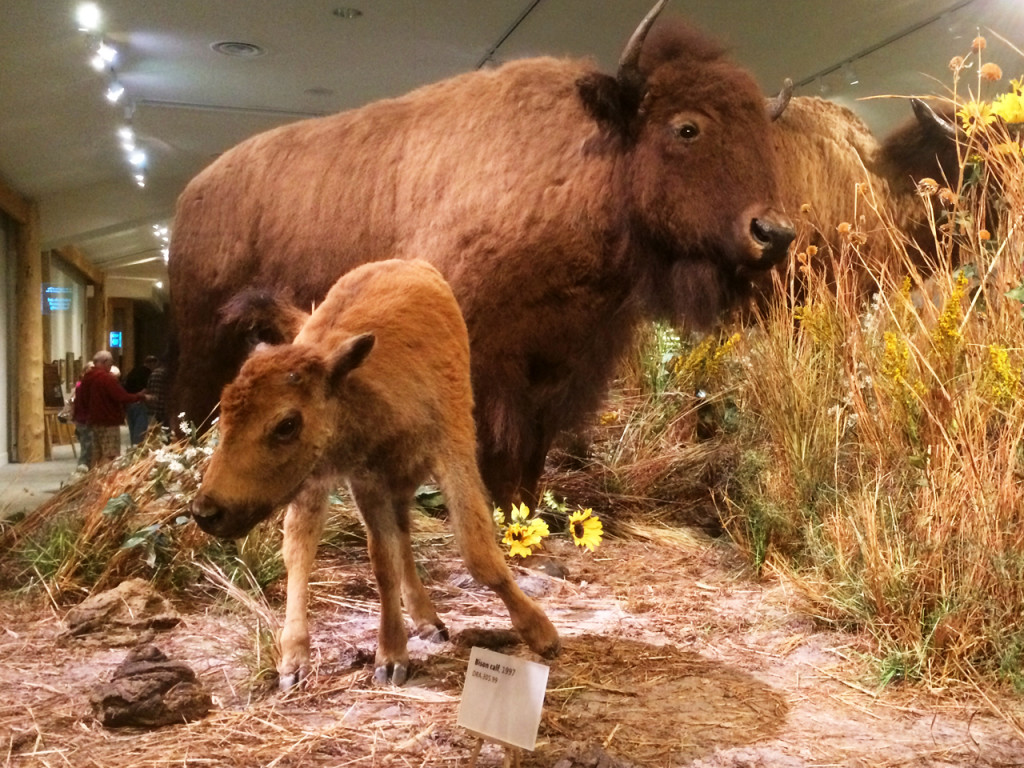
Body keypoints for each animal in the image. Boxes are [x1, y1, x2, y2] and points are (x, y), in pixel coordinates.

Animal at [169, 1, 795, 511]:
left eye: (763, 136)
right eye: (686, 127)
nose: (774, 232)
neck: (585, 163)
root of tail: (194, 189)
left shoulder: (566, 362)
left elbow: (534, 446)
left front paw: (525, 509)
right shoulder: (489, 357)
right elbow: (495, 439)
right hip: (203, 341)